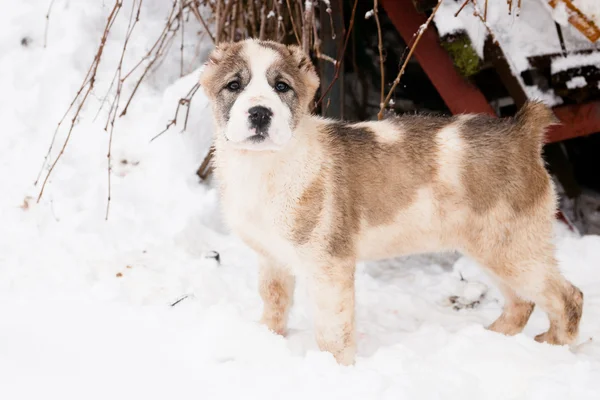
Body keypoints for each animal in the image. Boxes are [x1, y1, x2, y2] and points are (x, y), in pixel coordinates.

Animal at [199, 39, 584, 364]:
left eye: (281, 87)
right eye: (234, 85)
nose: (260, 113)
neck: (264, 164)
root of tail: (521, 132)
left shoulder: (328, 265)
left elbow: (332, 331)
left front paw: (335, 371)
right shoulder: (271, 258)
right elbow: (274, 302)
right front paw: (267, 340)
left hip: (513, 246)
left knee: (568, 298)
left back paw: (553, 350)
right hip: (493, 247)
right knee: (522, 302)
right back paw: (492, 338)